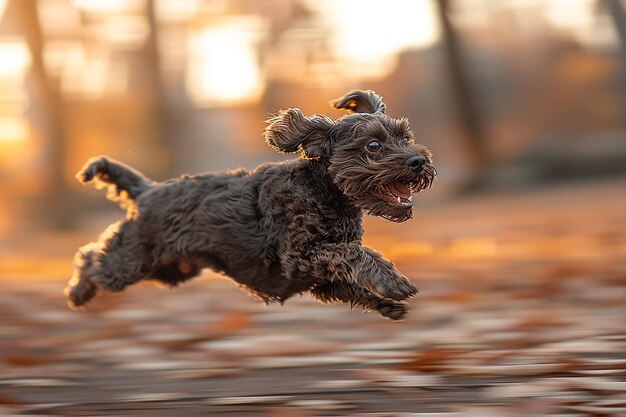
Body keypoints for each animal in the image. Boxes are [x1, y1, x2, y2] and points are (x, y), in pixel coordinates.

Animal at [64, 90, 434, 318]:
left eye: (405, 137)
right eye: (373, 145)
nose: (419, 160)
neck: (322, 191)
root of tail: (145, 190)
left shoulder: (323, 280)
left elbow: (352, 277)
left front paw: (387, 304)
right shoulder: (298, 257)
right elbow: (351, 253)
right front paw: (392, 281)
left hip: (171, 271)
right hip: (129, 262)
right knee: (90, 258)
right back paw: (77, 293)